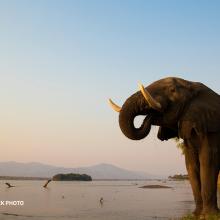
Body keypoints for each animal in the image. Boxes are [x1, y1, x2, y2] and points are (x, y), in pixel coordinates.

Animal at [109, 77, 219, 217]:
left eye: (172, 90)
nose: (150, 116)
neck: (193, 85)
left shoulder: (212, 128)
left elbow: (208, 159)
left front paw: (208, 216)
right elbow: (190, 164)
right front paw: (196, 215)